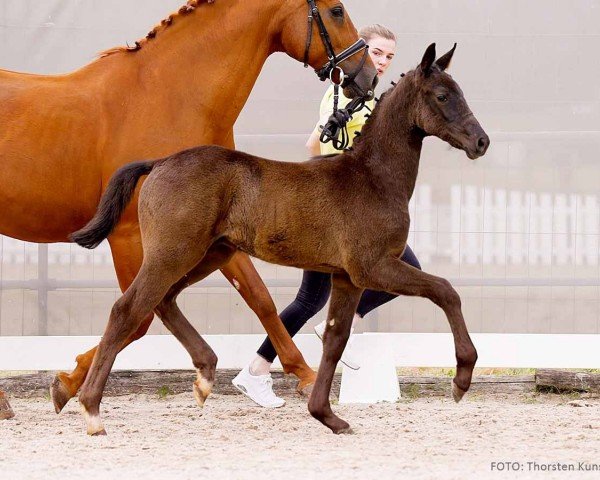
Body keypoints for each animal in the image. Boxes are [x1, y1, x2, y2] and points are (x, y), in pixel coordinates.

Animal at [0, 0, 376, 412]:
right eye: (337, 10)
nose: (369, 76)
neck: (171, 97)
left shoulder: (219, 233)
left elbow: (259, 297)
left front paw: (305, 376)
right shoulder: (130, 237)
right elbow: (137, 316)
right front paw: (69, 384)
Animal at [72, 44, 490, 436]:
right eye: (442, 95)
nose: (481, 142)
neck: (372, 177)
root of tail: (159, 162)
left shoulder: (346, 277)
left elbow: (335, 338)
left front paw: (327, 416)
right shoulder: (373, 266)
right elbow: (445, 290)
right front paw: (462, 378)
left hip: (209, 254)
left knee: (164, 301)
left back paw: (204, 378)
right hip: (173, 254)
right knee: (127, 309)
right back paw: (92, 410)